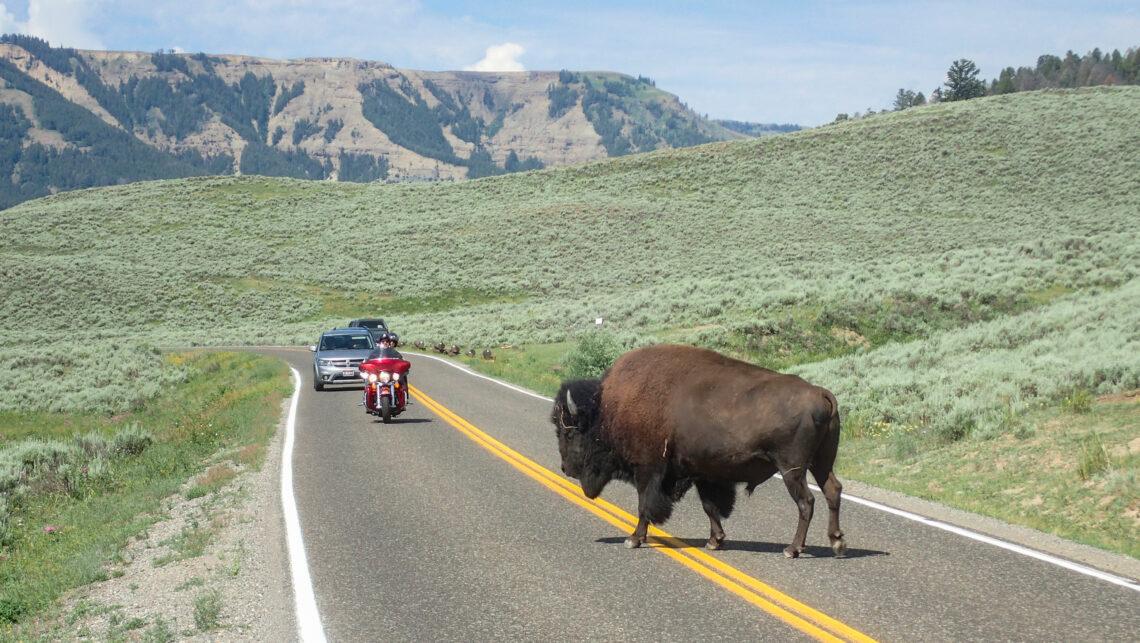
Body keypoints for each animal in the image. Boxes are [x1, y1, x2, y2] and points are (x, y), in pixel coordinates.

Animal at [551, 342, 848, 558]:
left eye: (569, 432)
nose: (565, 467)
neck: (608, 409)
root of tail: (822, 393)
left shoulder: (647, 470)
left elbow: (644, 506)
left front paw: (633, 539)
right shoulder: (703, 474)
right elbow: (710, 507)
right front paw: (715, 541)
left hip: (792, 469)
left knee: (806, 502)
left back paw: (792, 549)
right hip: (821, 463)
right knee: (832, 491)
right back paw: (837, 543)